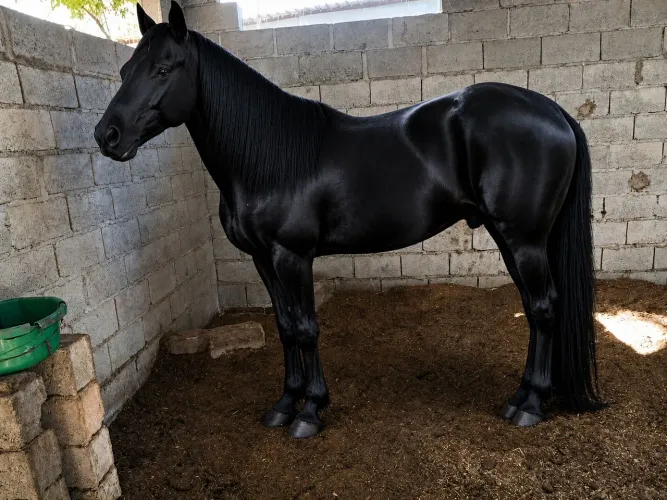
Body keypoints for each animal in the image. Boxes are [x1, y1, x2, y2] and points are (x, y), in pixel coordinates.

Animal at [95, 1, 605, 439]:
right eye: (124, 70)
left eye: (163, 69)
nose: (107, 135)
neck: (268, 158)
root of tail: (553, 111)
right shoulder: (263, 259)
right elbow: (284, 327)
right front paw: (284, 405)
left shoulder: (292, 256)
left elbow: (306, 328)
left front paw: (310, 412)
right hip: (513, 240)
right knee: (536, 309)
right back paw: (520, 396)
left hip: (524, 240)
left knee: (543, 308)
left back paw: (531, 406)